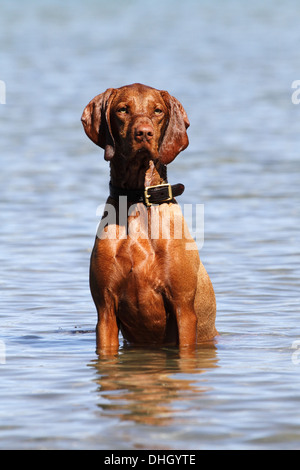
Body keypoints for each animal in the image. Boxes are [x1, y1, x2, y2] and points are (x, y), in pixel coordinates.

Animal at [82, 83, 217, 352]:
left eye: (157, 111)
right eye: (123, 109)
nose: (144, 133)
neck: (137, 199)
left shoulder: (183, 309)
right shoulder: (105, 310)